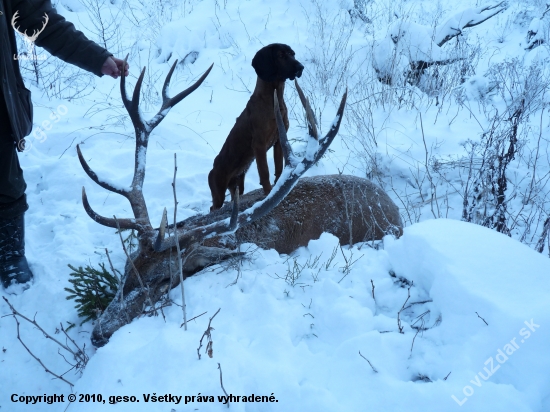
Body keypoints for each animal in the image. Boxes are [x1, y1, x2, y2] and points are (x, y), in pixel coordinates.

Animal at [209, 43, 306, 211]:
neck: (274, 101)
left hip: (237, 186)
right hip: (218, 193)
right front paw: (268, 194)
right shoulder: (259, 145)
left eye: (292, 54)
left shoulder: (279, 141)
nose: (301, 67)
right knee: (213, 207)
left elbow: (278, 168)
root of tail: (213, 167)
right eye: (281, 55)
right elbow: (265, 172)